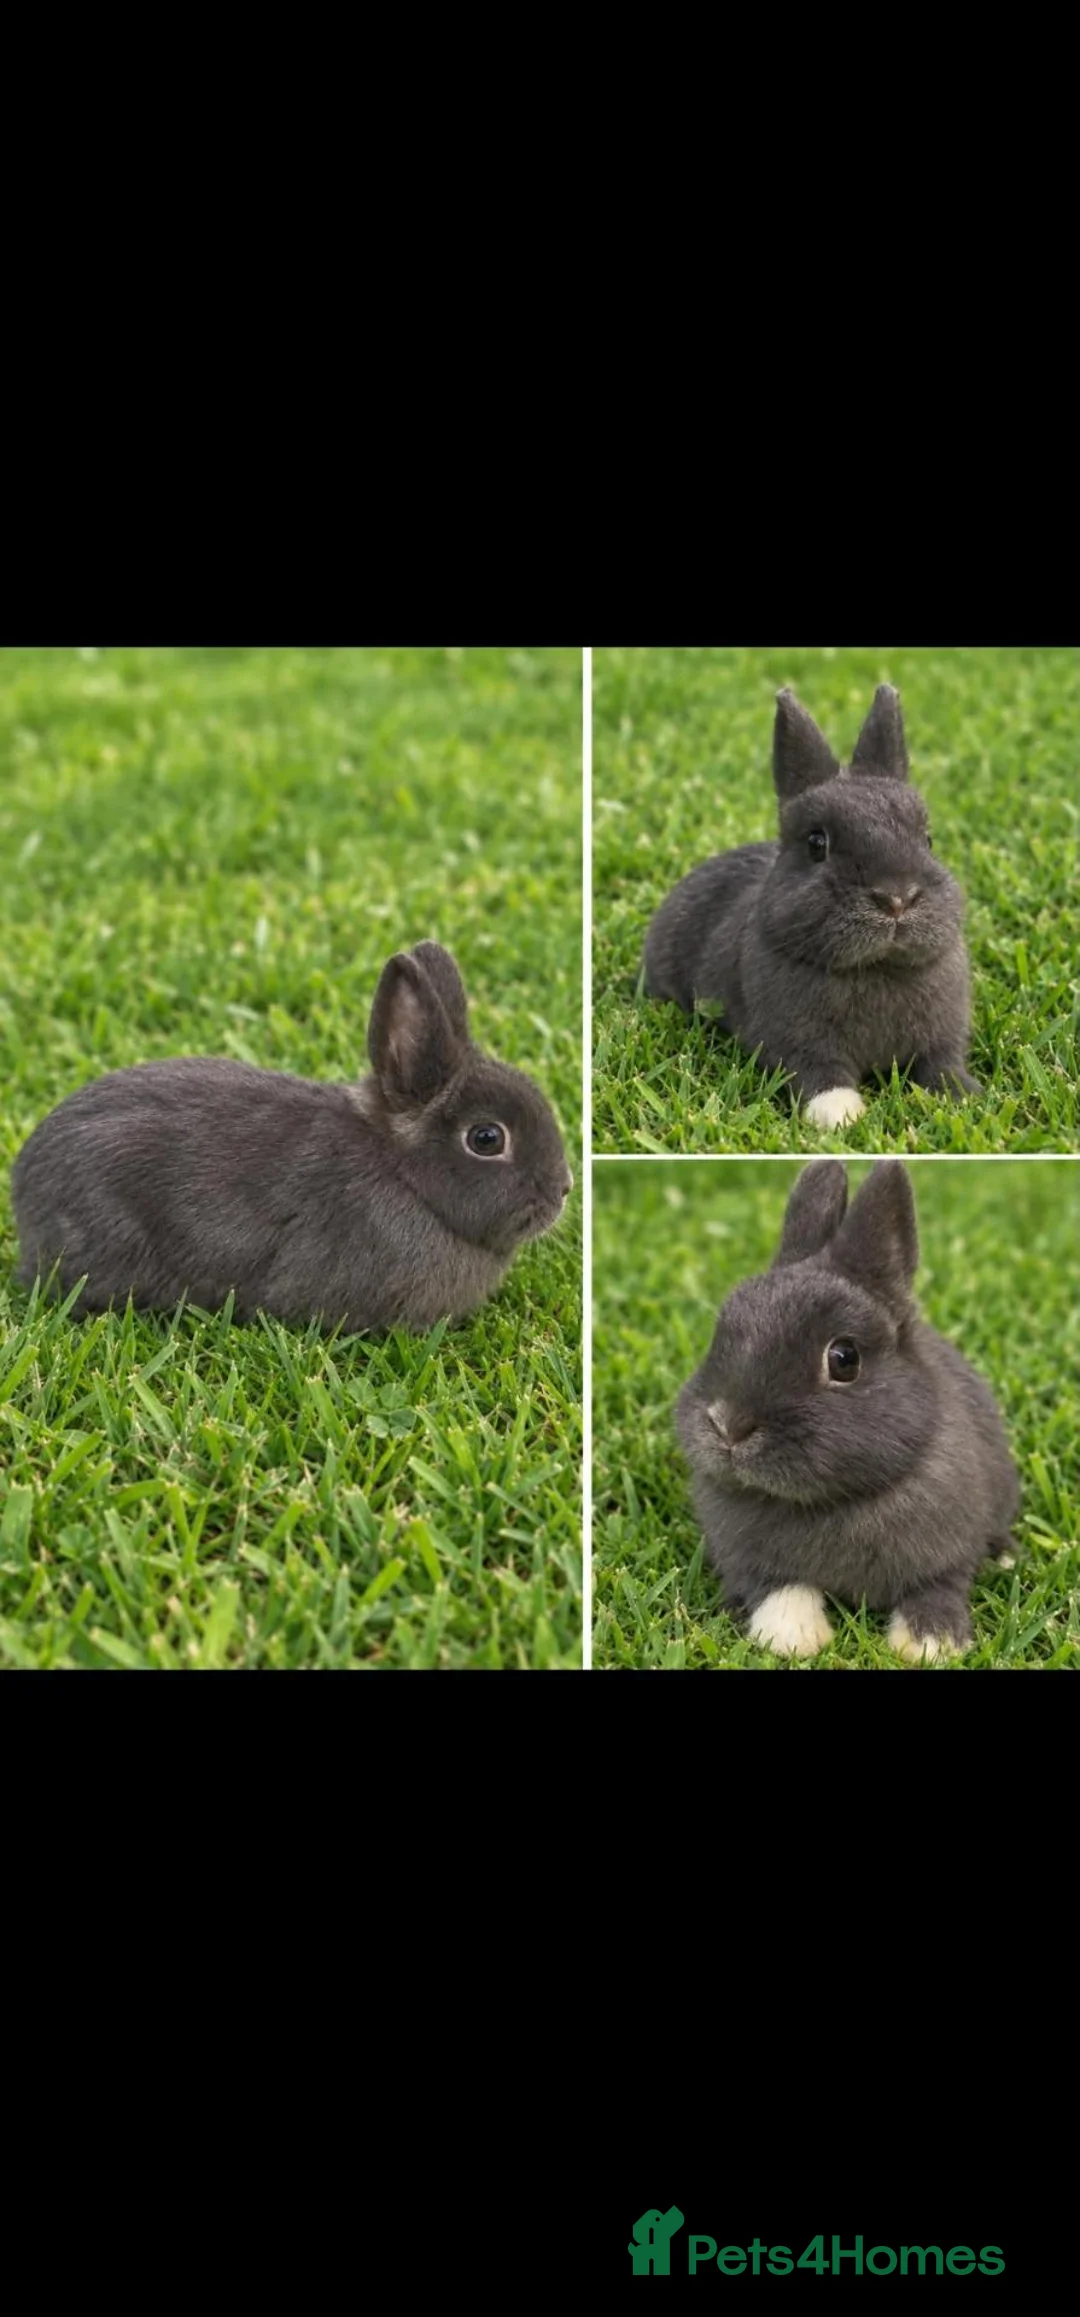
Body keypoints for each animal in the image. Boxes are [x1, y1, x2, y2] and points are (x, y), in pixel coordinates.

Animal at [643, 684, 979, 1129]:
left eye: (927, 840)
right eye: (817, 844)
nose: (896, 899)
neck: (875, 968)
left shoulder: (941, 1039)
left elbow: (942, 1066)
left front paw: (963, 1097)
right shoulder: (796, 1043)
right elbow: (818, 1074)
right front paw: (843, 1117)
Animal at [675, 1160, 1018, 1663]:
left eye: (844, 1359)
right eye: (723, 1334)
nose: (728, 1425)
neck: (833, 1501)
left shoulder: (947, 1557)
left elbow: (937, 1592)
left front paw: (930, 1646)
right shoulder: (754, 1566)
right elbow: (779, 1590)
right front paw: (794, 1639)